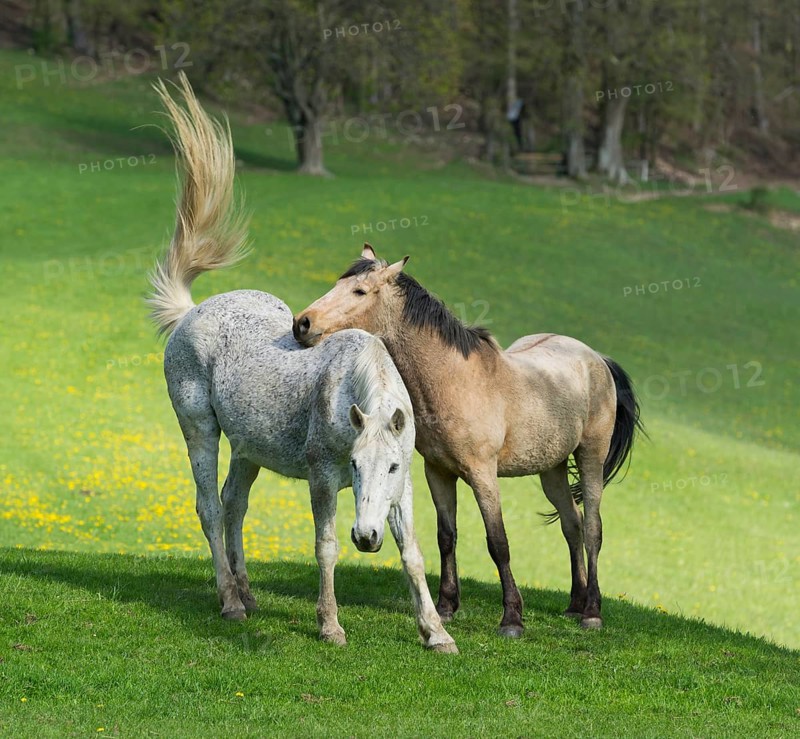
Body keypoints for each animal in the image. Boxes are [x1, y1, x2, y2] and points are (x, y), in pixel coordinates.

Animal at [147, 74, 455, 652]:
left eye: (392, 466)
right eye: (354, 465)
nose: (367, 537)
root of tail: (190, 313)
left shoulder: (403, 490)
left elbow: (413, 555)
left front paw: (436, 631)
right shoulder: (322, 481)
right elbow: (326, 547)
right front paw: (330, 624)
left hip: (247, 447)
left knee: (232, 504)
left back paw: (247, 594)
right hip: (199, 429)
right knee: (208, 507)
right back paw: (230, 601)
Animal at [292, 244, 644, 635]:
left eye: (359, 291)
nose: (302, 323)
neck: (455, 380)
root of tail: (597, 359)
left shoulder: (482, 475)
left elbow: (498, 542)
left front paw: (512, 618)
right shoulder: (438, 472)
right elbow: (447, 537)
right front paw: (446, 606)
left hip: (590, 458)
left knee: (593, 528)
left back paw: (591, 611)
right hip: (551, 469)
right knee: (573, 525)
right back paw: (574, 603)